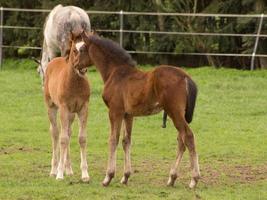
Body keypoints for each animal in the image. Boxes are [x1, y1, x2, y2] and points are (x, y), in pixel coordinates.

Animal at [43, 35, 90, 182]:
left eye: (87, 48)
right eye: (75, 50)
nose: (82, 67)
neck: (74, 83)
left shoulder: (83, 109)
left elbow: (82, 138)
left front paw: (85, 174)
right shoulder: (63, 108)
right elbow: (63, 139)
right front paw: (59, 174)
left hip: (71, 114)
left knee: (68, 132)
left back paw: (68, 169)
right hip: (52, 107)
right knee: (55, 133)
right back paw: (54, 170)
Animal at [74, 32, 200, 188]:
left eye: (81, 49)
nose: (75, 65)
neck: (115, 72)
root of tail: (185, 77)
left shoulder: (115, 112)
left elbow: (113, 140)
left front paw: (108, 177)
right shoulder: (128, 115)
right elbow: (126, 141)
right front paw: (125, 176)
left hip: (174, 112)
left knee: (188, 136)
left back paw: (194, 179)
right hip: (177, 114)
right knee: (181, 140)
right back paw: (172, 178)